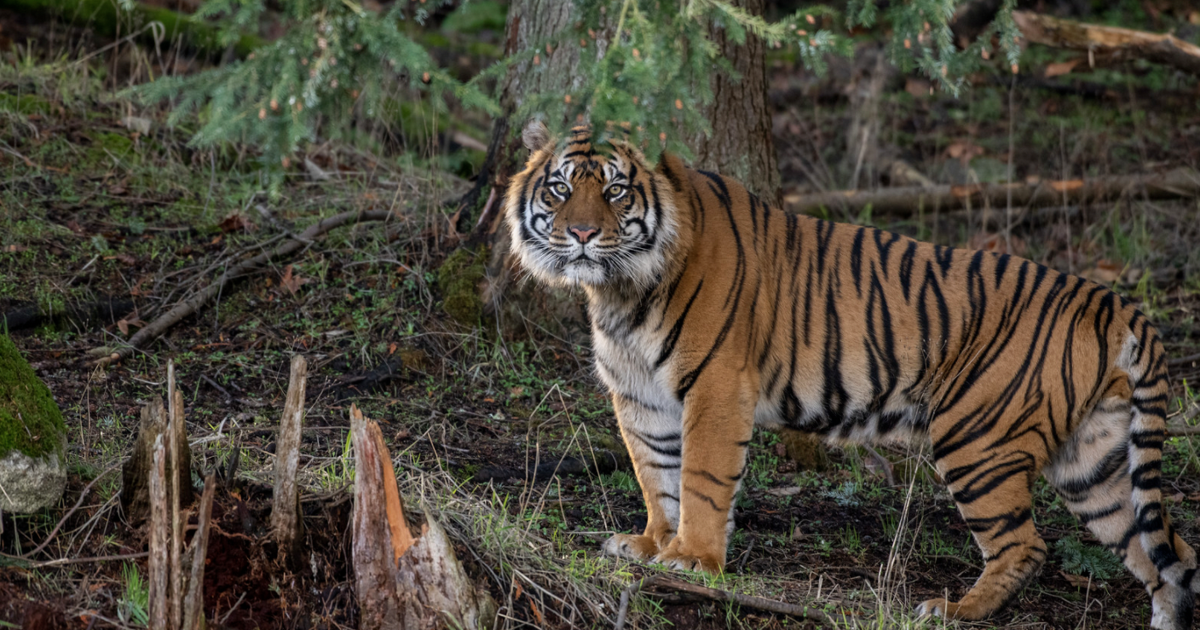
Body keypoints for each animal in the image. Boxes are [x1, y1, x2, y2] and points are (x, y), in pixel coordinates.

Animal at [503, 119, 1199, 629]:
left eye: (616, 191)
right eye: (560, 189)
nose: (582, 234)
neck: (619, 291)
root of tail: (1112, 301)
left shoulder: (716, 386)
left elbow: (699, 478)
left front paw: (694, 561)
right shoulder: (641, 398)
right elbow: (656, 476)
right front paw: (652, 545)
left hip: (979, 439)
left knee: (1025, 546)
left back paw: (951, 610)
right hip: (1093, 460)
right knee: (1166, 549)